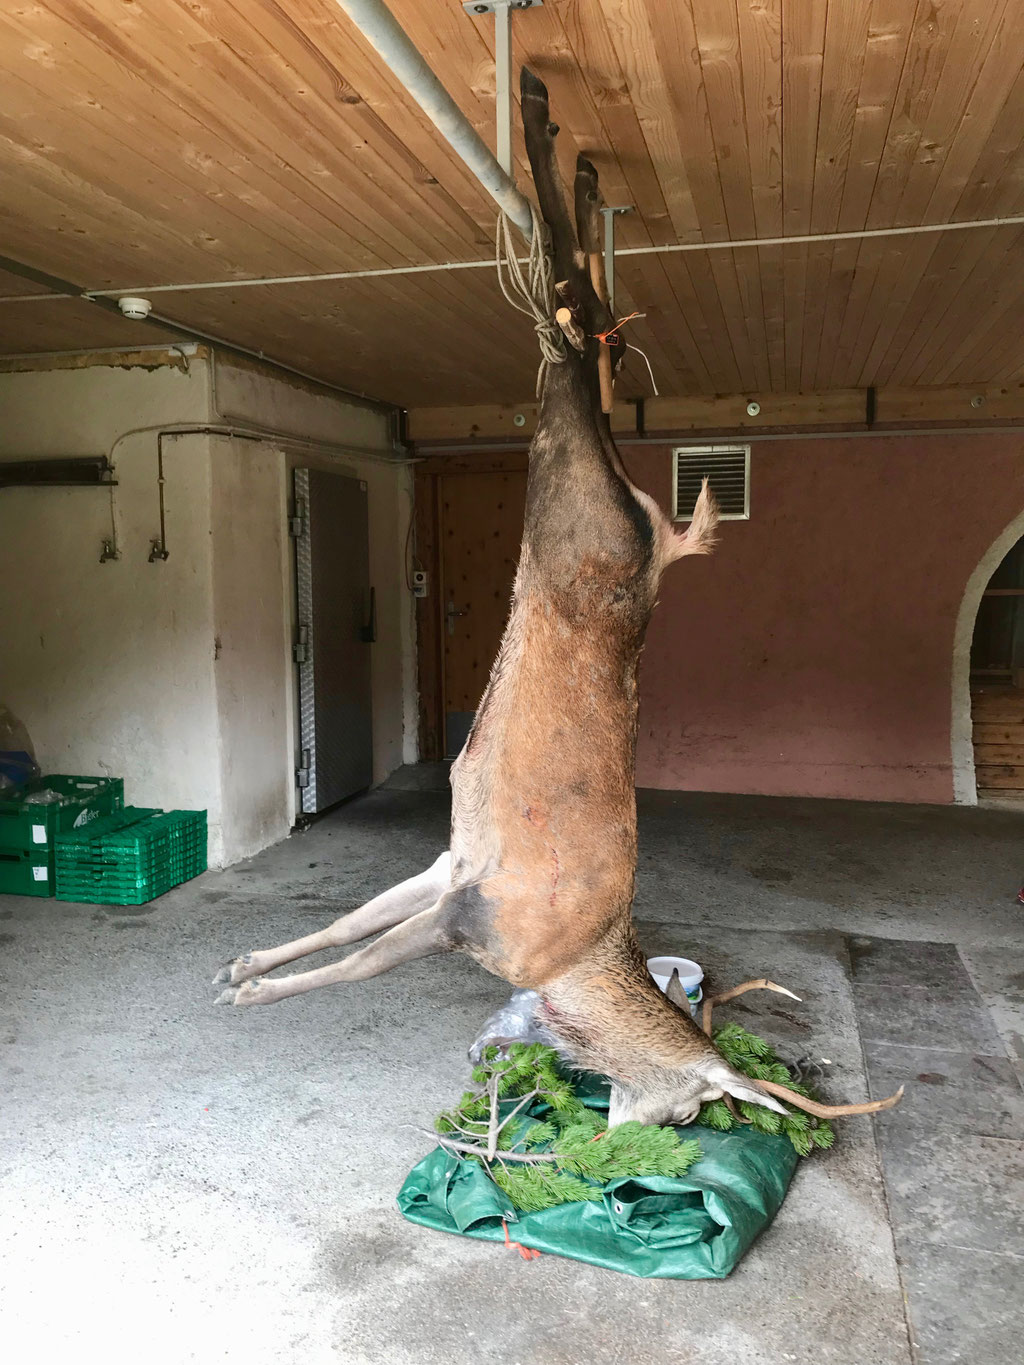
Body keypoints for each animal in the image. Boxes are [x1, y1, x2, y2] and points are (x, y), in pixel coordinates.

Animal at [214, 68, 902, 1130]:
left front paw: (244, 966)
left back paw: (565, 151)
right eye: (692, 1105)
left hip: (573, 490)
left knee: (577, 322)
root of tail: (662, 541)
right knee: (577, 317)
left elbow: (348, 928)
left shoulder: (456, 874)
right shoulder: (477, 913)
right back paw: (548, 124)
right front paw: (253, 986)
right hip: (585, 504)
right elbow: (350, 955)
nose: (651, 1133)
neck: (566, 963)